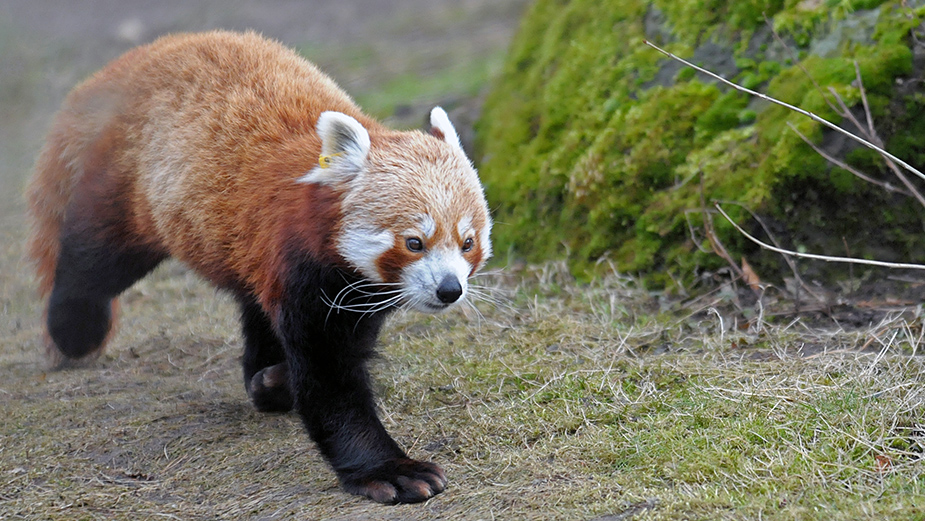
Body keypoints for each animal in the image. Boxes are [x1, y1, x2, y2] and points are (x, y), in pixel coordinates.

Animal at [25, 29, 490, 504]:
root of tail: (143, 57)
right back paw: (74, 329)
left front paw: (276, 381)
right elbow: (330, 378)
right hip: (133, 186)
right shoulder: (307, 267)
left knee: (254, 304)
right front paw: (388, 470)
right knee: (95, 259)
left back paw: (264, 380)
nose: (449, 289)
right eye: (414, 243)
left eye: (467, 243)